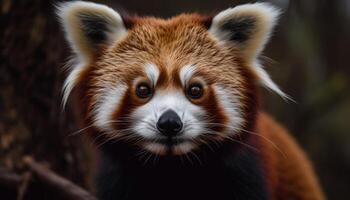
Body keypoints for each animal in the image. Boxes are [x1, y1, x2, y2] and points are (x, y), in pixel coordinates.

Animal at [56, 1, 326, 200]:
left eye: (195, 90)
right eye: (143, 89)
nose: (169, 123)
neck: (176, 168)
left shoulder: (247, 173)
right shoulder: (117, 180)